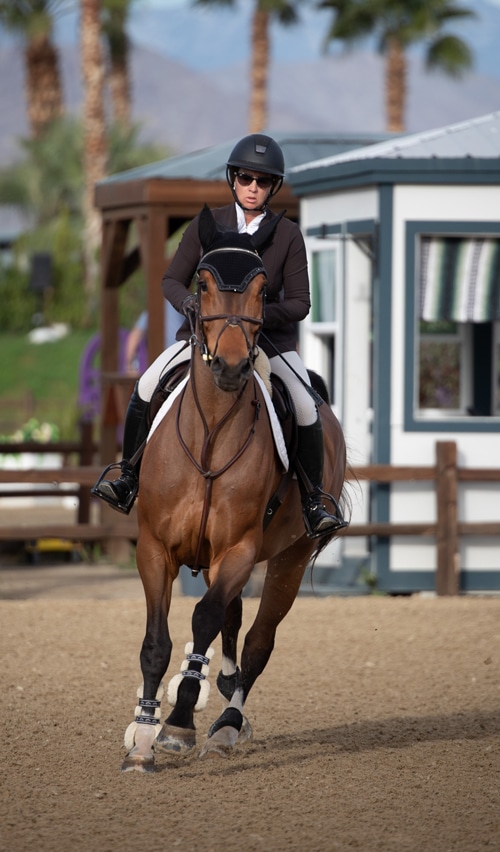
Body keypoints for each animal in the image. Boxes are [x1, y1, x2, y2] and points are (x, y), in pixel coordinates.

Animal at [122, 205, 348, 772]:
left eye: (263, 290)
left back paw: (226, 722)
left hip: (290, 558)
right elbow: (157, 642)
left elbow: (205, 618)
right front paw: (142, 737)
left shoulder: (239, 550)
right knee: (232, 622)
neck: (210, 435)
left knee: (257, 641)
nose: (228, 367)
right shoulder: (155, 548)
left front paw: (177, 724)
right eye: (201, 284)